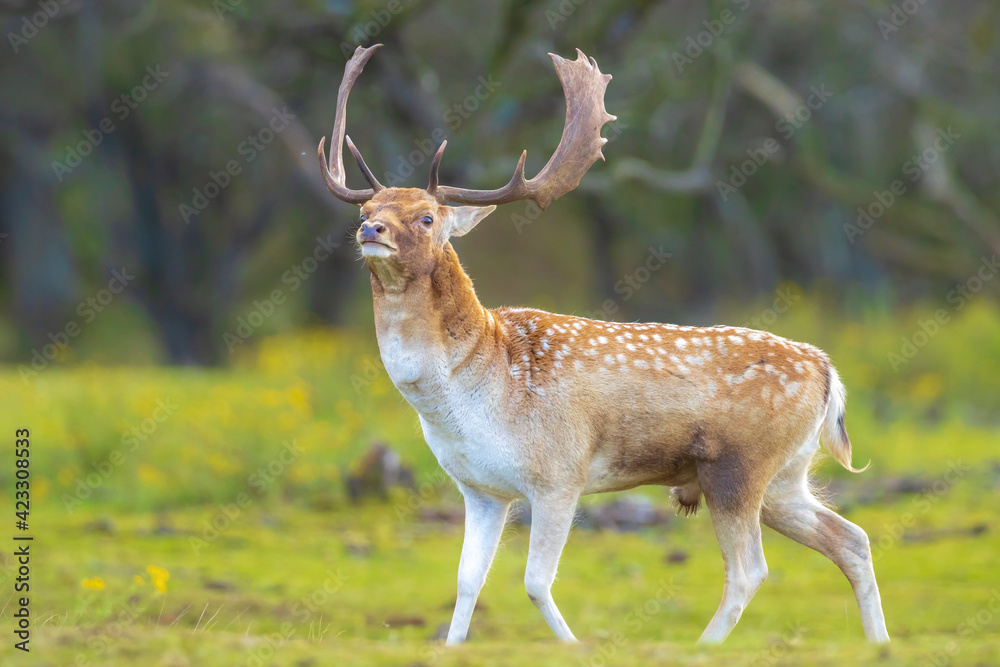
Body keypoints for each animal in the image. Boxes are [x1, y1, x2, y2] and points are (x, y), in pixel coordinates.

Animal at [317, 44, 890, 645]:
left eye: (427, 217)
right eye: (365, 210)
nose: (370, 231)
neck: (476, 386)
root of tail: (828, 371)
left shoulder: (559, 474)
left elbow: (535, 581)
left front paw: (576, 647)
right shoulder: (480, 488)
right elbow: (468, 581)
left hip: (739, 467)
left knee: (750, 569)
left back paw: (702, 647)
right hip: (785, 476)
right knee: (851, 539)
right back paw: (879, 643)